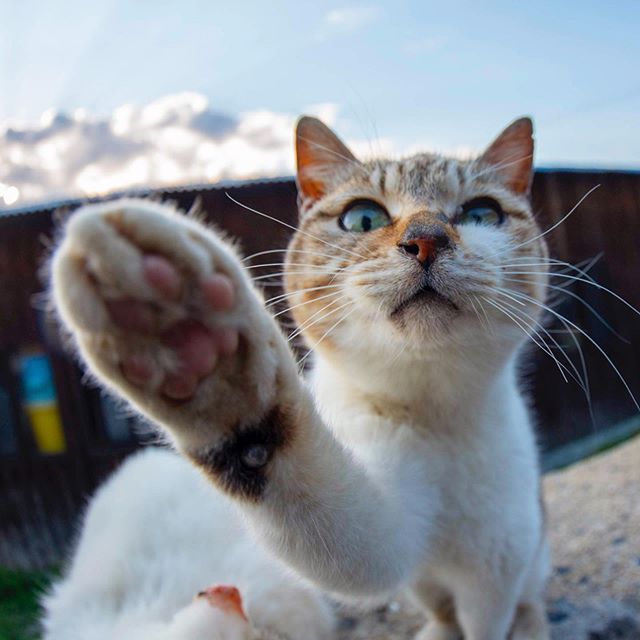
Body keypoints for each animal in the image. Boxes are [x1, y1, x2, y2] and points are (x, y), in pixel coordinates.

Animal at [46, 116, 552, 640]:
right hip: (424, 580)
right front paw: (197, 352)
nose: (427, 239)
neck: (432, 413)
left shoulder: (498, 563)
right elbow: (345, 531)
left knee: (525, 593)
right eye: (363, 218)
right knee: (438, 602)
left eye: (482, 213)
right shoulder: (385, 518)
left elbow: (488, 620)